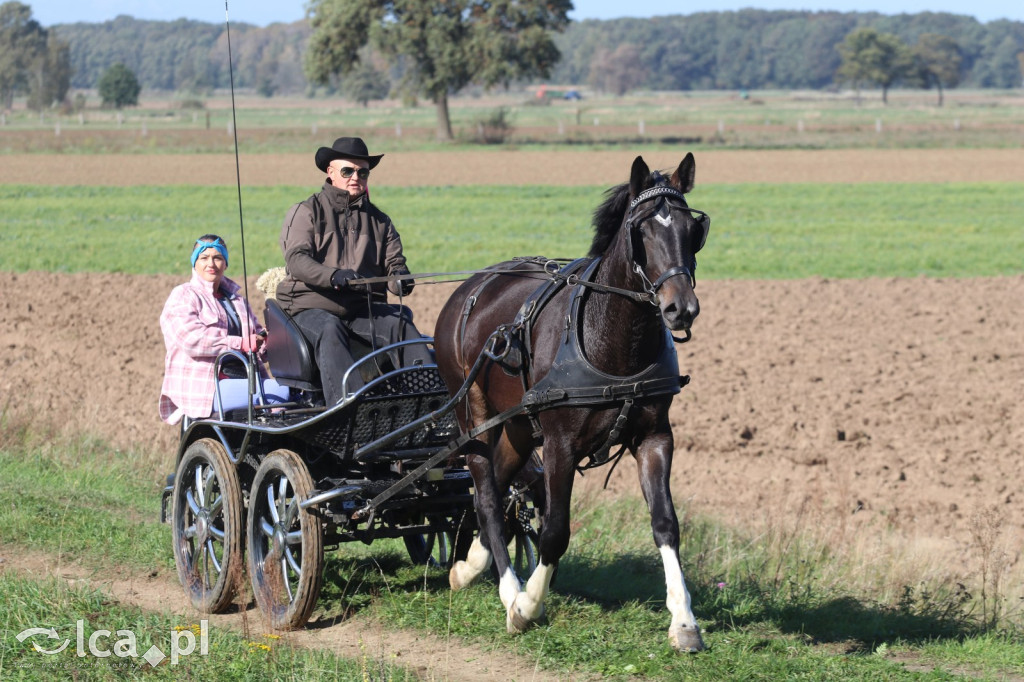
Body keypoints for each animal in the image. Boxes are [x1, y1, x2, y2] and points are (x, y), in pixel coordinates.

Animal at [434, 151, 712, 651]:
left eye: (691, 228)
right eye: (640, 231)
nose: (681, 308)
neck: (615, 343)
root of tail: (470, 287)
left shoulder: (655, 437)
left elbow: (666, 523)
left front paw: (683, 621)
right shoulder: (561, 445)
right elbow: (555, 532)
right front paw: (527, 607)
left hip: (518, 428)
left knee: (496, 491)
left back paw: (468, 568)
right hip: (475, 420)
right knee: (488, 498)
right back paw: (509, 590)